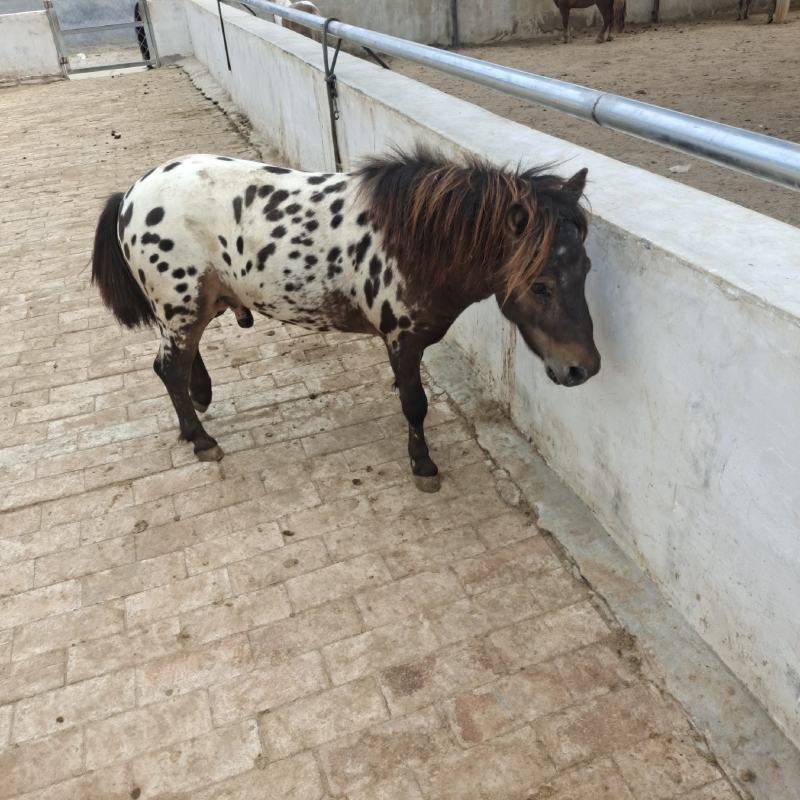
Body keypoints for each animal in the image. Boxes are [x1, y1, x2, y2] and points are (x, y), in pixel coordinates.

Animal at [91, 147, 600, 492]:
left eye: (586, 269)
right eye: (541, 285)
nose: (583, 368)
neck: (416, 239)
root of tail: (130, 197)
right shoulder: (401, 340)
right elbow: (415, 404)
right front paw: (423, 464)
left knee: (183, 360)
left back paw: (199, 398)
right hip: (180, 305)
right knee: (168, 367)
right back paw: (200, 438)